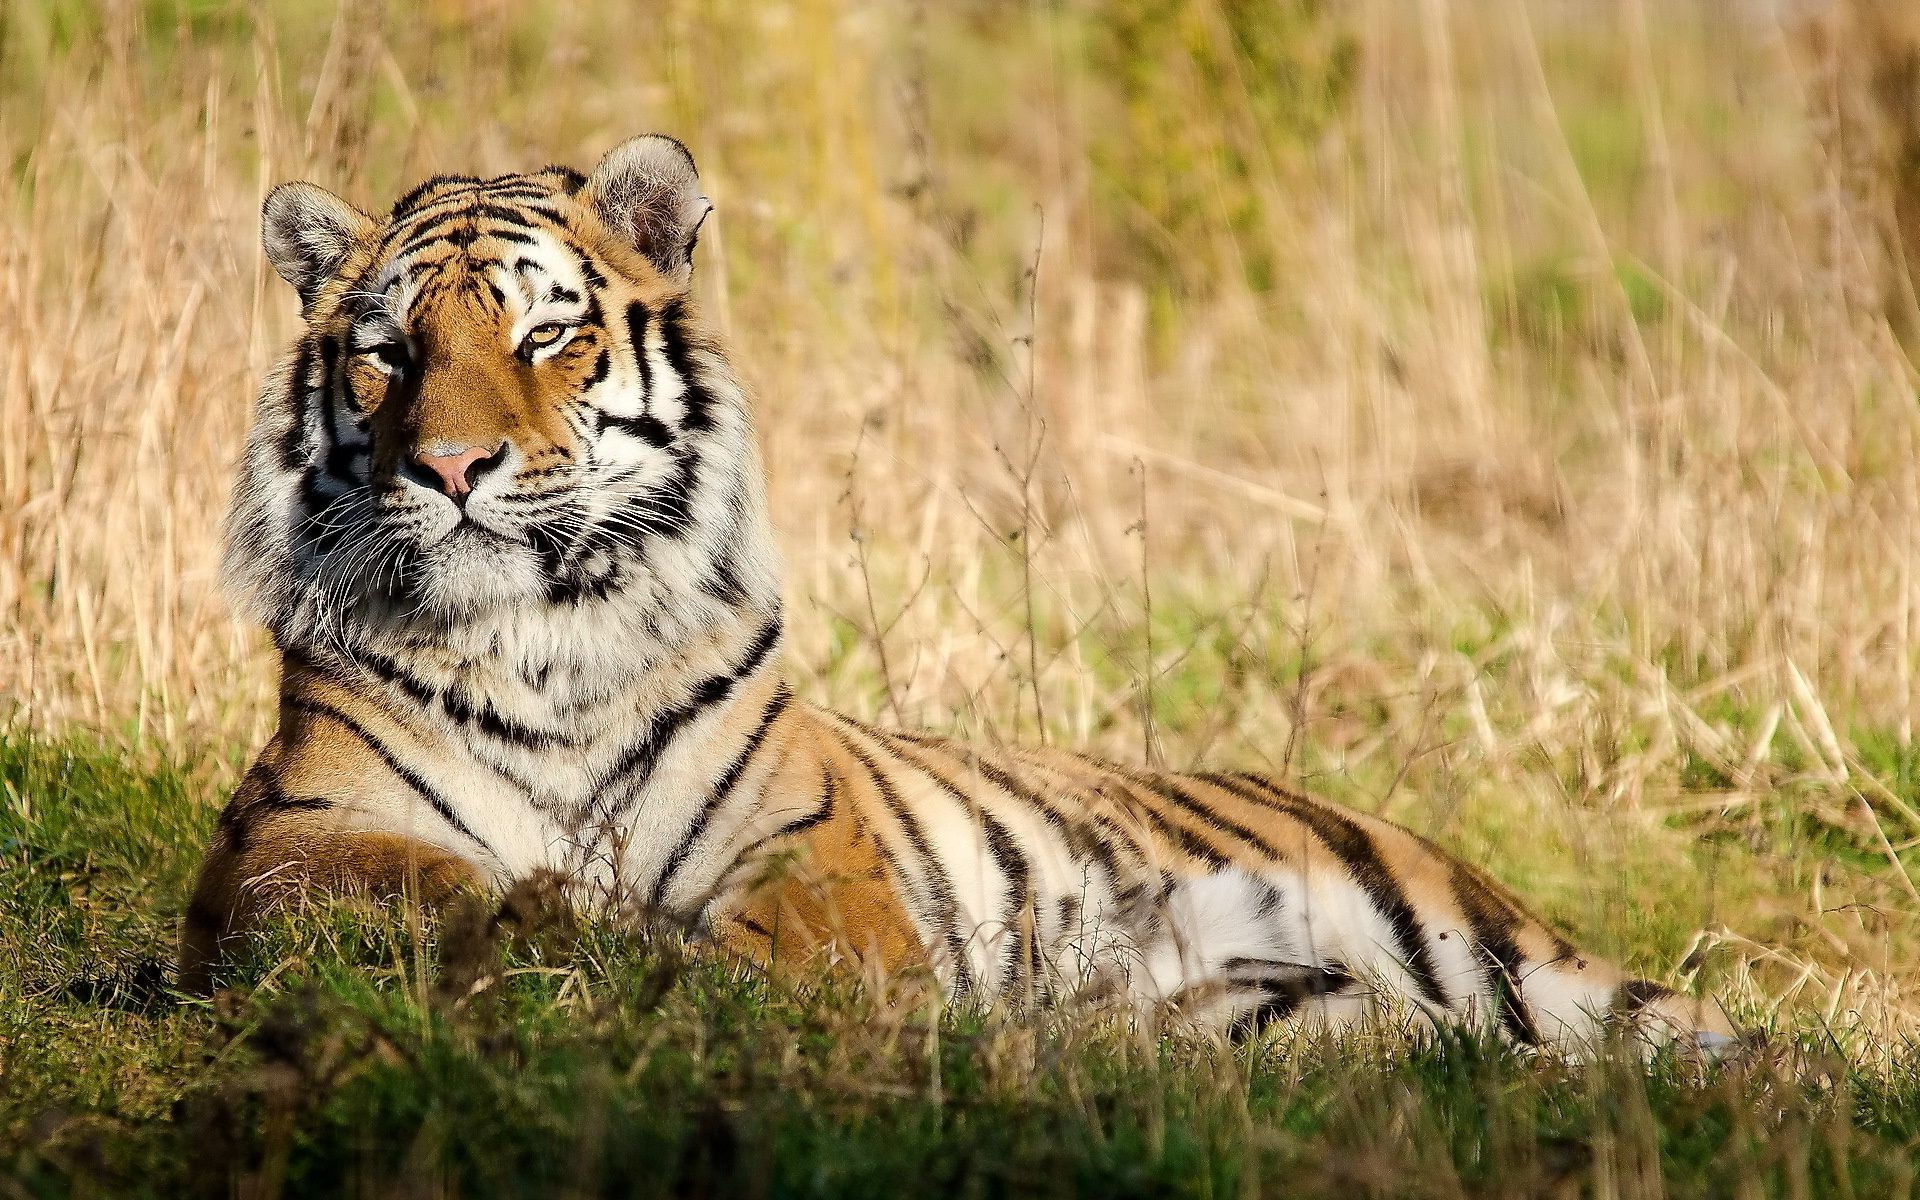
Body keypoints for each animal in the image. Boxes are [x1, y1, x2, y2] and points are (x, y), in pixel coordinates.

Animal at [183, 128, 1743, 1044]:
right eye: (387, 354)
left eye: (546, 336)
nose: (451, 465)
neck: (542, 636)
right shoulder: (285, 837)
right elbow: (413, 883)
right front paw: (550, 920)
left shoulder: (813, 856)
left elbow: (770, 943)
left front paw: (638, 951)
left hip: (1488, 949)